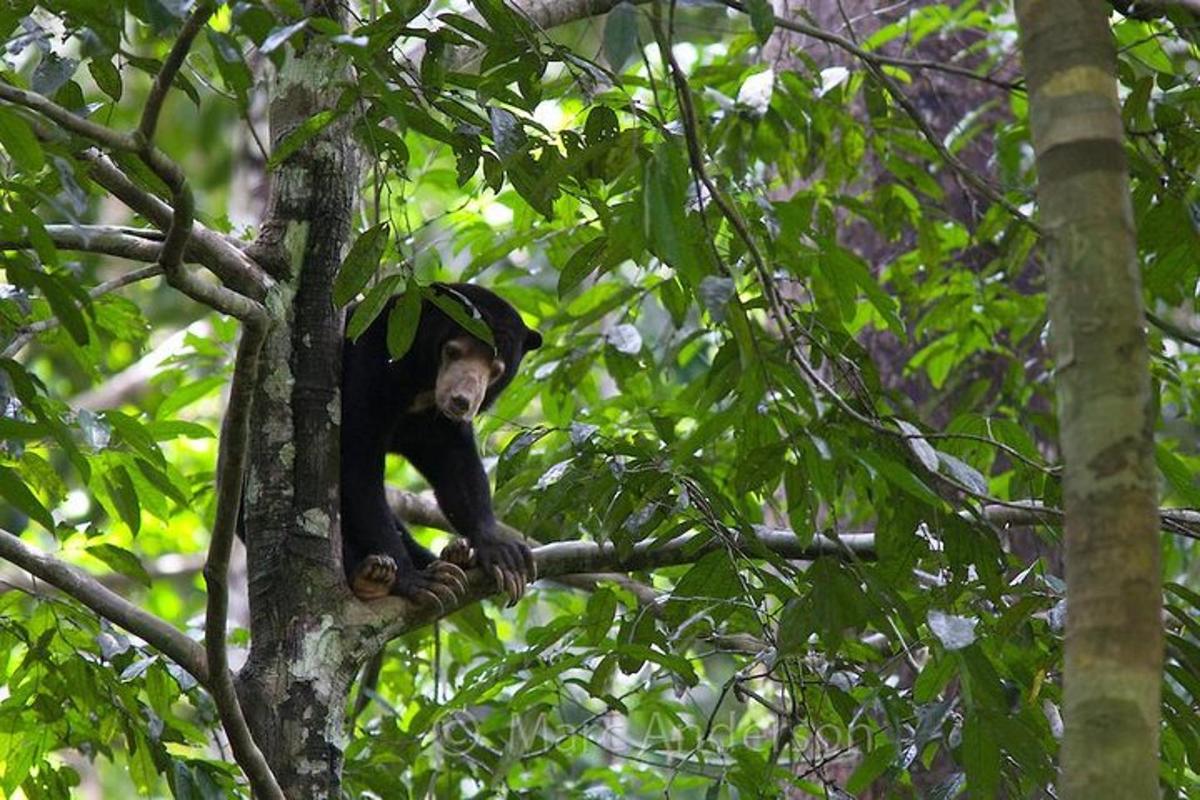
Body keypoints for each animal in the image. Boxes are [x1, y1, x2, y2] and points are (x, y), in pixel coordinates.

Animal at [340, 284, 542, 604]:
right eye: (452, 351)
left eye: (496, 369)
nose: (461, 400)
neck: (421, 389)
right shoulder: (367, 367)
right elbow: (356, 463)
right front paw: (415, 580)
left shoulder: (436, 424)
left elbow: (455, 467)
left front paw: (501, 552)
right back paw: (372, 576)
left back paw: (456, 558)